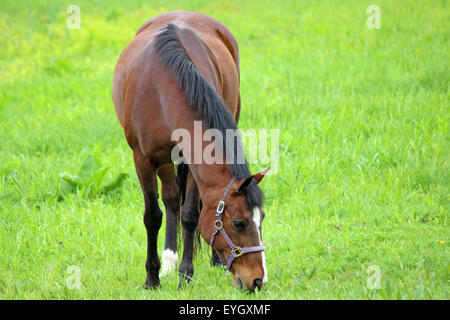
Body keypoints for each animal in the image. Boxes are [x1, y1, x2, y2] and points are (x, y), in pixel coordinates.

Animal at [112, 11, 268, 292]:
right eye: (239, 223)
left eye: (261, 218)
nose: (258, 281)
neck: (162, 88)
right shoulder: (143, 160)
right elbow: (153, 216)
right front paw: (152, 277)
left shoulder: (196, 160)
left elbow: (191, 214)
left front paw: (186, 274)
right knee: (171, 198)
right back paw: (168, 261)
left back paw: (211, 260)